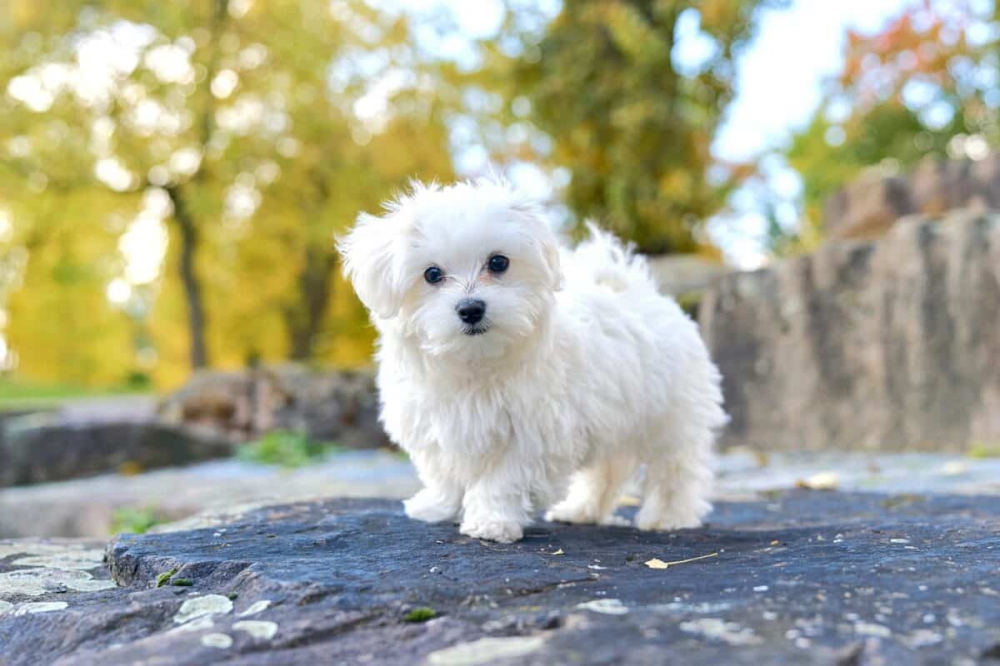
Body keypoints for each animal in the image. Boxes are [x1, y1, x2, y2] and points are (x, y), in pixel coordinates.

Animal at [338, 176, 728, 540]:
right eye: (432, 274)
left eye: (498, 262)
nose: (471, 308)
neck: (475, 362)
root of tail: (642, 292)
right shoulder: (434, 423)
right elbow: (442, 471)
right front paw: (437, 506)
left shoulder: (532, 434)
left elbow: (501, 480)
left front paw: (491, 521)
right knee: (606, 471)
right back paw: (581, 510)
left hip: (671, 416)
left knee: (675, 469)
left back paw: (668, 516)